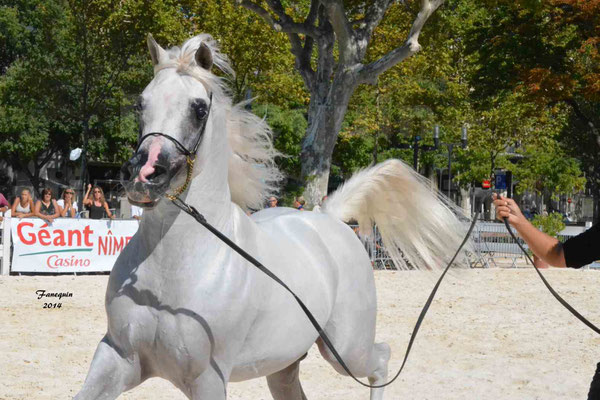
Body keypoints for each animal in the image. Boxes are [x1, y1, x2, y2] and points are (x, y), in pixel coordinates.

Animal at [74, 35, 468, 400]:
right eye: (141, 103)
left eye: (198, 109)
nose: (144, 176)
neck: (172, 270)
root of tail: (329, 218)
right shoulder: (118, 357)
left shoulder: (207, 379)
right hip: (285, 364)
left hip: (346, 349)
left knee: (382, 359)